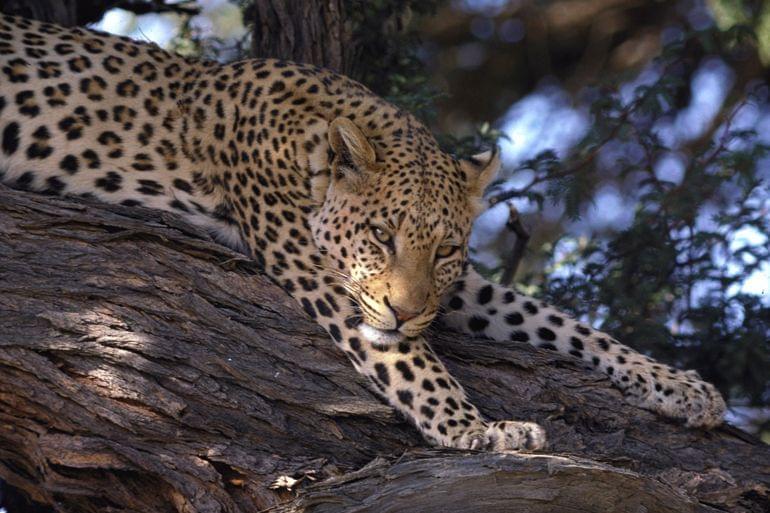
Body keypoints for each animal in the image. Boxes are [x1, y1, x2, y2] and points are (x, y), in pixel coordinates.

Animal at [0, 14, 726, 452]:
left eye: (446, 250)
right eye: (379, 234)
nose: (403, 313)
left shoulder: (451, 290)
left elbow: (559, 321)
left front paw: (680, 387)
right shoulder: (320, 272)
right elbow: (416, 367)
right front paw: (482, 432)